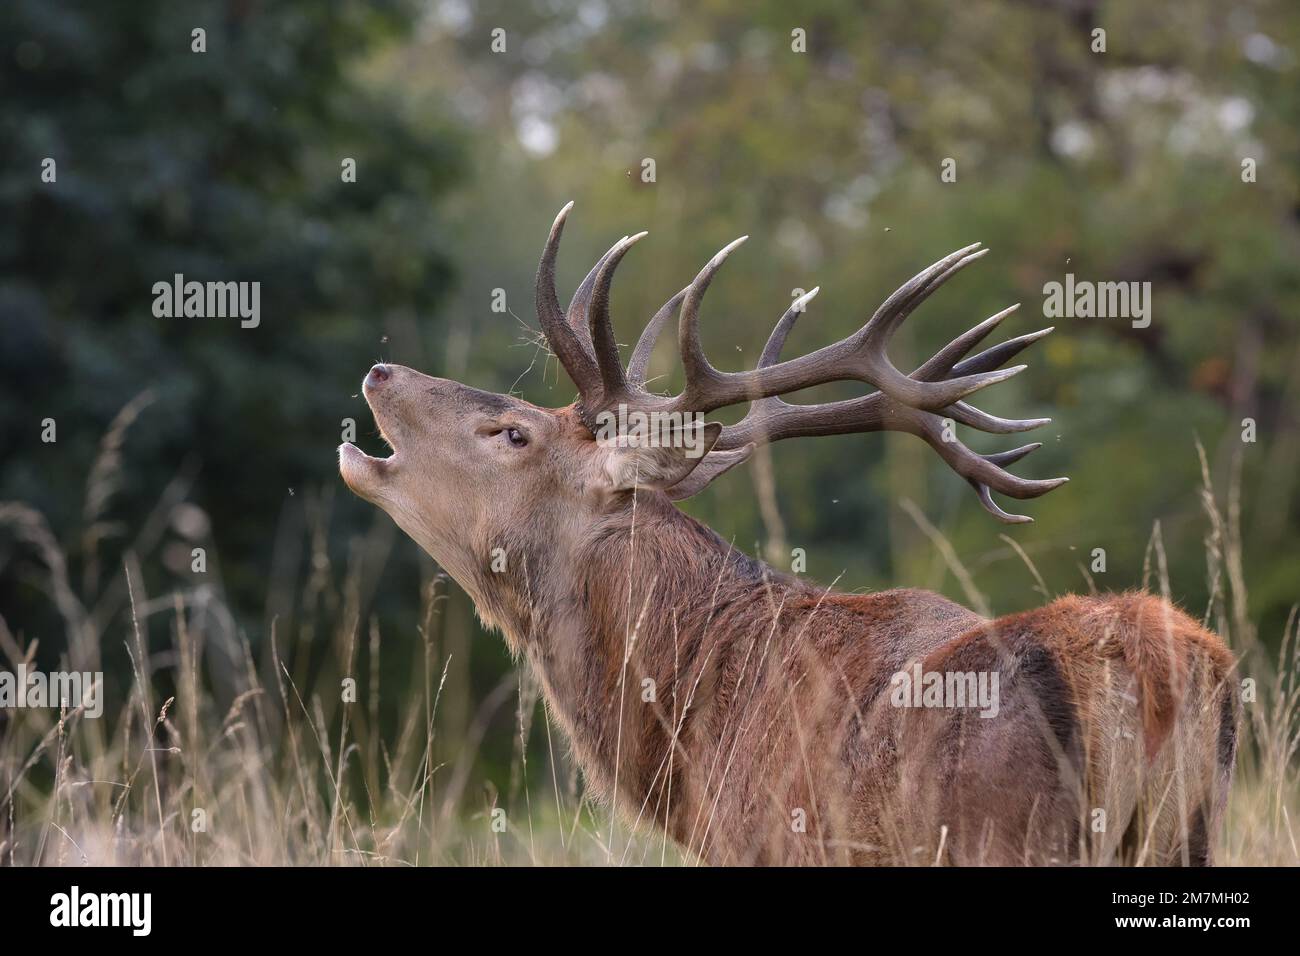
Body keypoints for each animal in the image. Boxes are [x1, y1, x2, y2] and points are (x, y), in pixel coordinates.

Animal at [339, 204, 1237, 866]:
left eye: (513, 433)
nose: (379, 370)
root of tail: (1150, 670)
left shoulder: (770, 842)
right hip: (1182, 836)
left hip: (1007, 838)